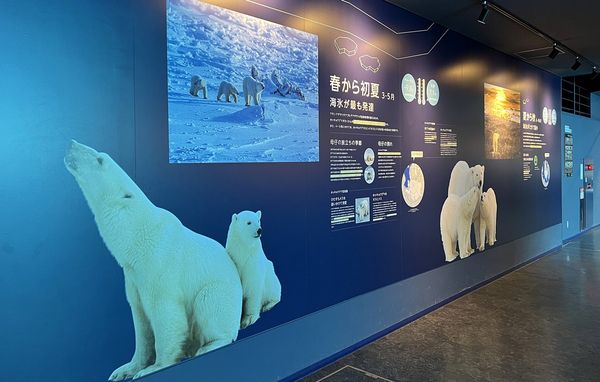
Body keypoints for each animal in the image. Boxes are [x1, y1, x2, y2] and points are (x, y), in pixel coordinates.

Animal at [64, 141, 243, 382]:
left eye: (100, 159)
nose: (71, 143)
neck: (136, 237)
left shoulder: (159, 266)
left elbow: (166, 314)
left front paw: (154, 368)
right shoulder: (132, 278)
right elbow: (140, 321)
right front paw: (124, 370)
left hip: (218, 293)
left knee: (210, 308)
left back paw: (206, 347)